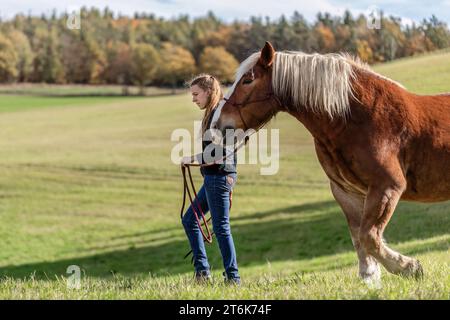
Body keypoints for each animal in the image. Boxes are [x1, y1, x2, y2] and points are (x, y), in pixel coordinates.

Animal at [211, 42, 450, 282]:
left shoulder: (387, 187)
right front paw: (370, 278)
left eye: (248, 80)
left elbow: (370, 237)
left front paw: (409, 267)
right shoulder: (346, 192)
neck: (357, 119)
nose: (219, 124)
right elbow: (359, 238)